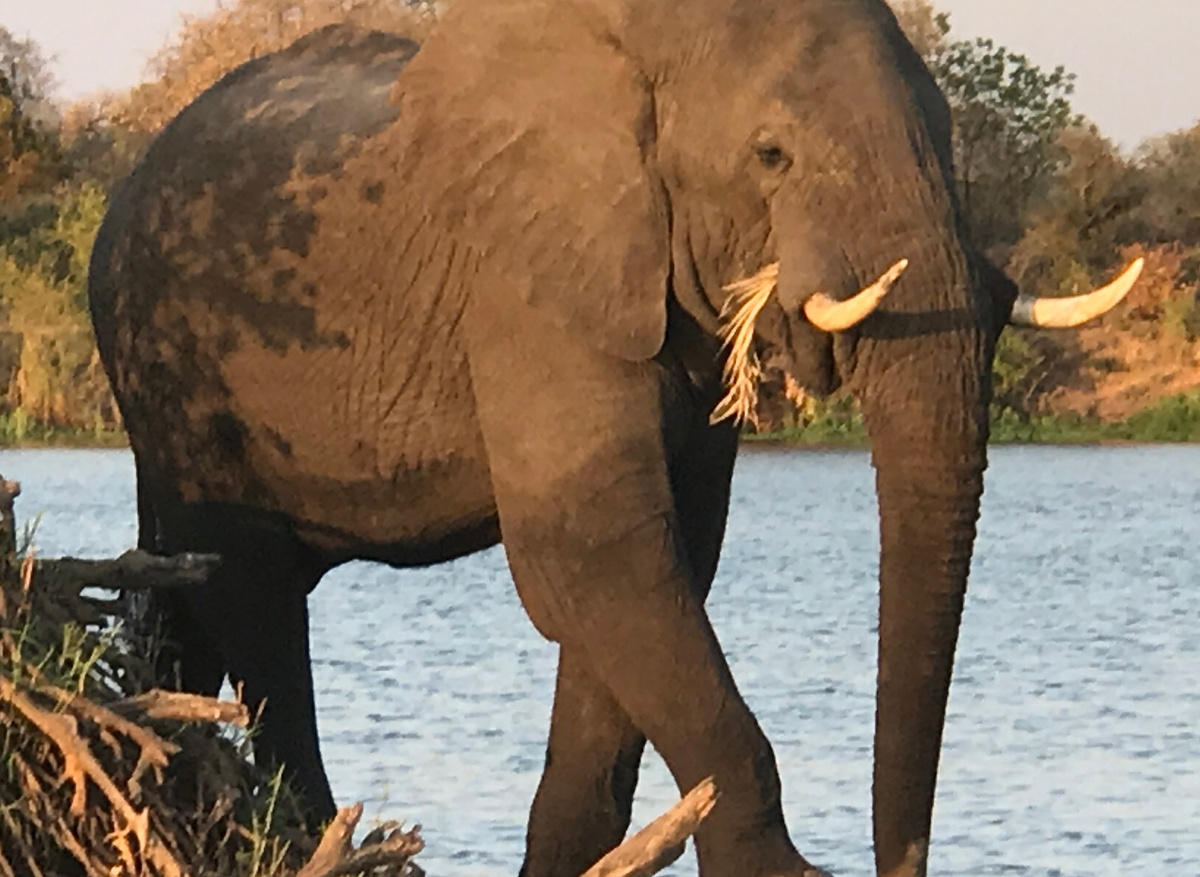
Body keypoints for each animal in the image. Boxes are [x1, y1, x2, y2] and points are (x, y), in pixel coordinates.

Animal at [86, 1, 1142, 875]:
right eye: (772, 155)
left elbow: (654, 571)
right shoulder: (526, 283)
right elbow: (596, 549)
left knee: (184, 606)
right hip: (176, 371)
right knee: (256, 601)